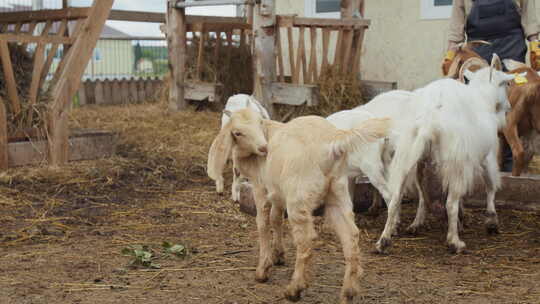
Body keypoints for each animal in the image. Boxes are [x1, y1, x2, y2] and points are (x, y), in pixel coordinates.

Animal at [209, 109, 390, 304]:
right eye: (237, 132)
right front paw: (278, 255)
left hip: (299, 195)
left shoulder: (260, 188)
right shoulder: (277, 191)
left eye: (259, 123)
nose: (264, 148)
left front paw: (263, 269)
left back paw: (294, 289)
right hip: (338, 190)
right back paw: (348, 292)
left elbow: (263, 224)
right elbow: (276, 219)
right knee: (351, 236)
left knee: (306, 240)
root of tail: (333, 141)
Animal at [376, 55, 516, 254]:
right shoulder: (486, 156)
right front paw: (491, 222)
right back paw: (454, 242)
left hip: (409, 156)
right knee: (450, 203)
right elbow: (490, 185)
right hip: (456, 162)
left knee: (397, 198)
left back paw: (385, 240)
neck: (483, 98)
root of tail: (430, 118)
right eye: (507, 84)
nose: (509, 107)